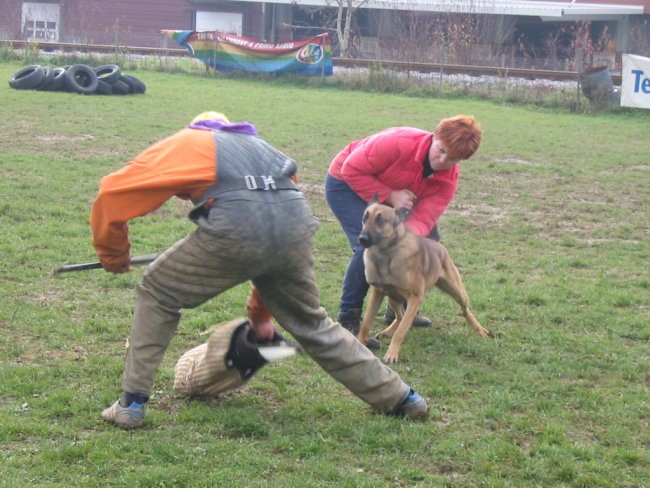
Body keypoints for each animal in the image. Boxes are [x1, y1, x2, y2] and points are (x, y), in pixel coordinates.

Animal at [356, 195, 488, 362]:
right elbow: (367, 322)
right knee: (399, 317)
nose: (361, 238)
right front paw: (360, 343)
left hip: (458, 292)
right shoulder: (378, 293)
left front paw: (392, 353)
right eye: (364, 218)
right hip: (392, 297)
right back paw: (388, 330)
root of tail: (440, 247)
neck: (386, 254)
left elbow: (401, 330)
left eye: (380, 220)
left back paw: (479, 329)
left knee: (465, 310)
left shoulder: (415, 298)